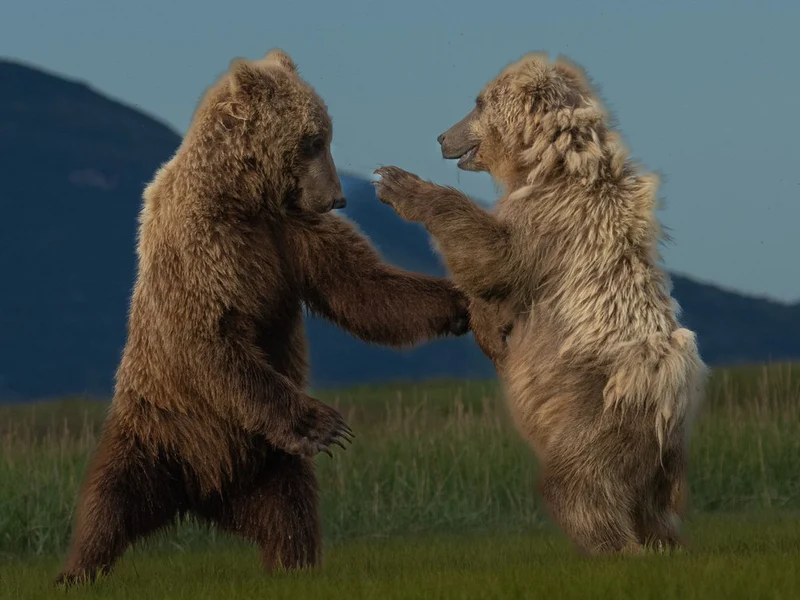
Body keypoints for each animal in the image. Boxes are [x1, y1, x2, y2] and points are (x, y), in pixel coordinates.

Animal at [55, 48, 470, 586]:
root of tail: (204, 490)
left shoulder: (290, 232)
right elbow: (211, 338)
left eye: (326, 135)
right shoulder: (202, 245)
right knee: (107, 501)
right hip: (157, 427)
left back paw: (294, 565)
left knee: (291, 512)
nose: (337, 198)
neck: (242, 197)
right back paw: (77, 570)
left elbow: (360, 286)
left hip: (271, 462)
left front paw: (458, 300)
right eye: (313, 140)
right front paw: (326, 424)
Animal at [374, 52, 708, 555]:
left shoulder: (552, 221)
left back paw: (613, 547)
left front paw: (399, 184)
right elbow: (493, 285)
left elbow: (495, 259)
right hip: (662, 460)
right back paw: (663, 544)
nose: (442, 137)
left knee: (579, 485)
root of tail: (671, 399)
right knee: (655, 508)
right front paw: (489, 333)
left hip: (595, 412)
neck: (548, 162)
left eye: (478, 101)